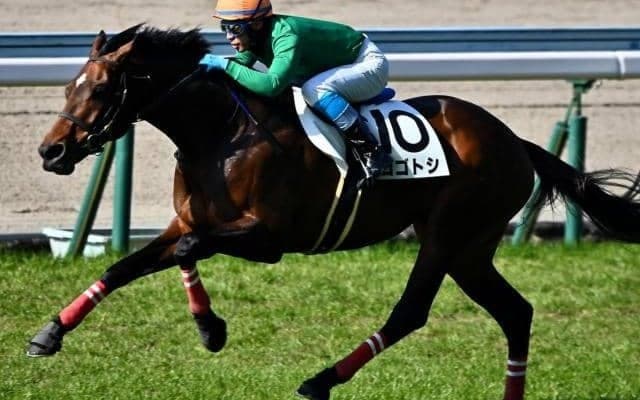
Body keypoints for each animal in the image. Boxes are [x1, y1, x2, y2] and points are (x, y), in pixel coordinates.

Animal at [30, 25, 640, 400]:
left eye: (101, 89)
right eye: (67, 86)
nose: (50, 152)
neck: (220, 132)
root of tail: (514, 140)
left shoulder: (267, 238)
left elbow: (185, 250)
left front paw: (210, 328)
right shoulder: (194, 221)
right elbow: (125, 266)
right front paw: (49, 334)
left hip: (448, 234)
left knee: (411, 312)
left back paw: (319, 381)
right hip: (472, 250)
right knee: (516, 312)